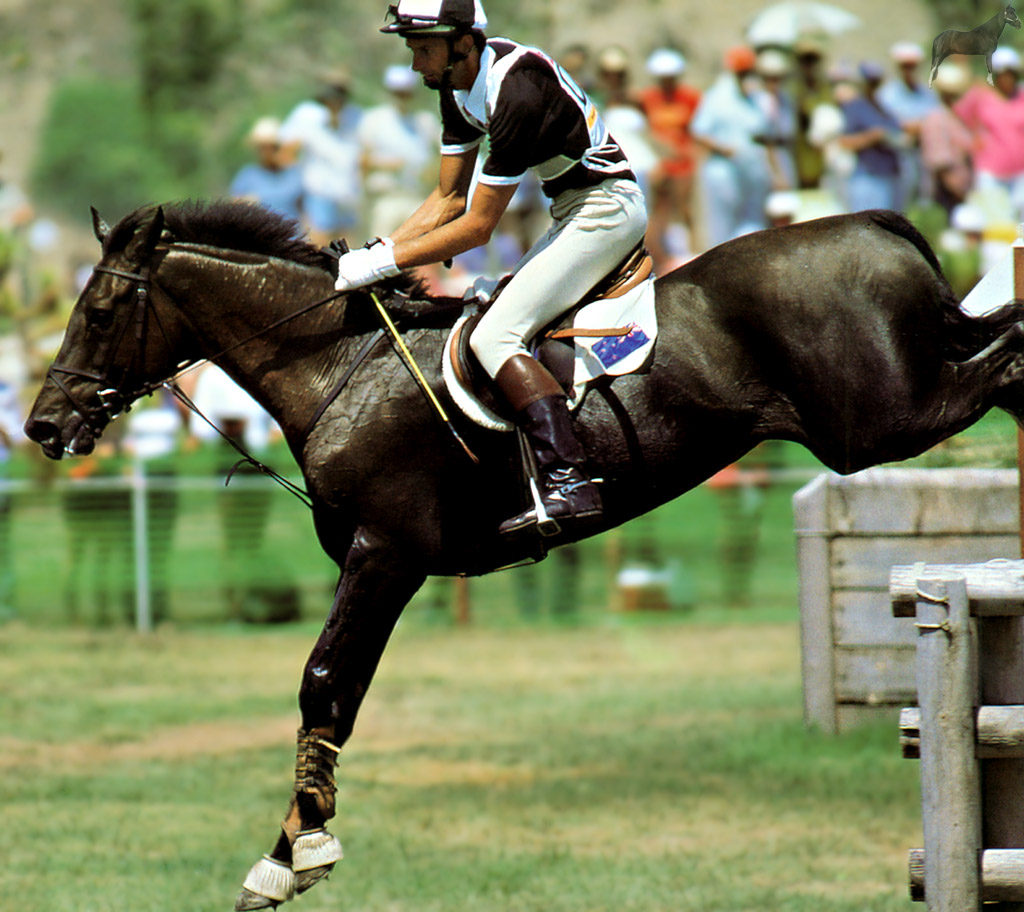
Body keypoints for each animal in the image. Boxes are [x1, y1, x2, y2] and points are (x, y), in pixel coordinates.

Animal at [24, 203, 1024, 908]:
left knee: (1007, 353)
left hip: (882, 420)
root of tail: (875, 222)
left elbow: (323, 684)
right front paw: (287, 855)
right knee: (1002, 343)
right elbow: (337, 698)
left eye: (102, 309)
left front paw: (295, 856)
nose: (42, 425)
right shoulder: (383, 565)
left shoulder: (385, 555)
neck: (337, 366)